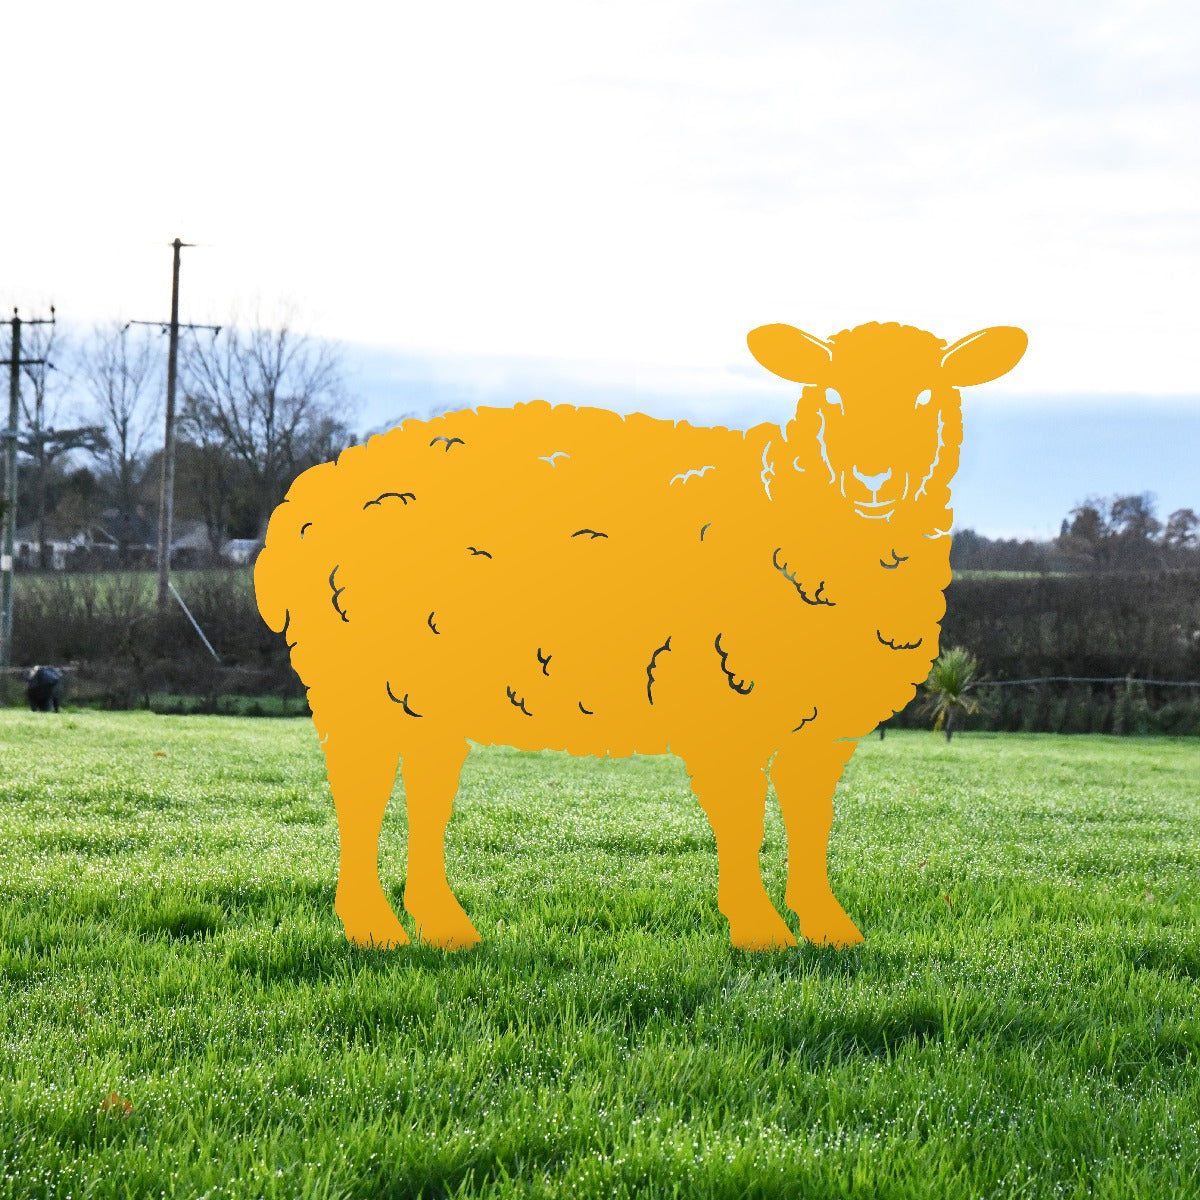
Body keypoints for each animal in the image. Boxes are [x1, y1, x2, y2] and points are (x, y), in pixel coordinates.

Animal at [255, 321, 1027, 952]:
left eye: (930, 396)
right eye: (831, 396)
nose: (874, 480)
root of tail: (306, 495)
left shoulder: (821, 727)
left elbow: (812, 826)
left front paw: (829, 930)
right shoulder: (721, 698)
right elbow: (744, 823)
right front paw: (759, 932)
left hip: (421, 692)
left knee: (425, 788)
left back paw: (443, 928)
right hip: (355, 679)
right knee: (360, 795)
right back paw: (373, 929)